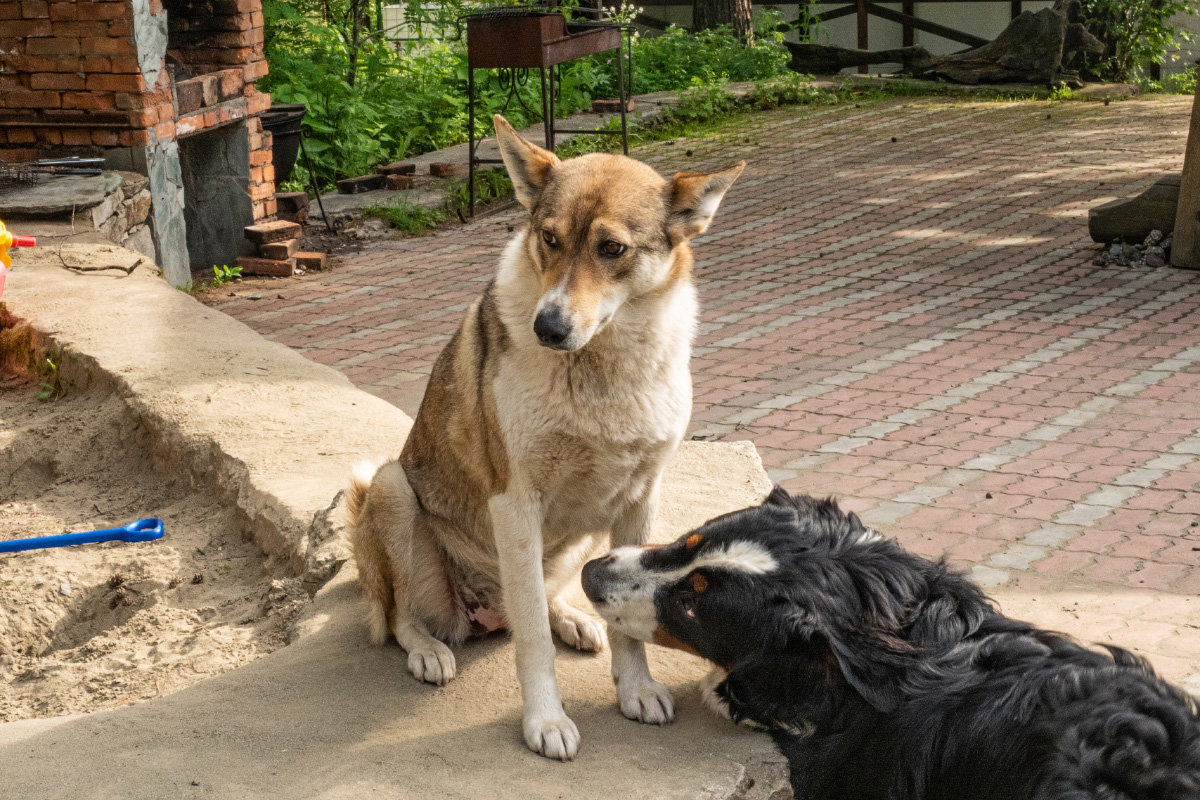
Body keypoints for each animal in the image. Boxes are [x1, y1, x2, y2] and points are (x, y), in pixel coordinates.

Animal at [343, 115, 744, 762]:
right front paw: (546, 722)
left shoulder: (641, 497)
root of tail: (482, 608)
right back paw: (430, 650)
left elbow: (624, 620)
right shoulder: (514, 504)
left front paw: (636, 689)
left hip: (573, 538)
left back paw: (573, 618)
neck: (599, 370)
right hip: (391, 488)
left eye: (612, 249)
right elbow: (531, 637)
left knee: (539, 596)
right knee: (407, 615)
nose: (547, 327)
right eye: (550, 239)